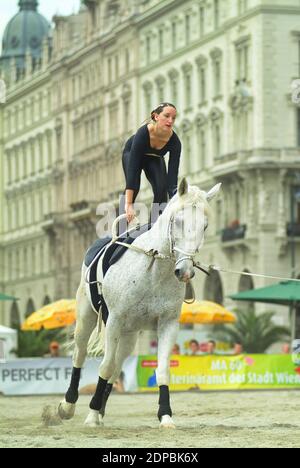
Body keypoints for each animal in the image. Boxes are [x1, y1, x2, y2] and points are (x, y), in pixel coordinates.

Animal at [58, 178, 221, 428]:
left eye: (204, 226)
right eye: (178, 221)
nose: (185, 271)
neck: (154, 269)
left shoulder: (168, 324)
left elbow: (162, 369)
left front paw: (165, 415)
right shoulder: (114, 320)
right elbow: (104, 366)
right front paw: (91, 415)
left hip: (129, 335)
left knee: (117, 366)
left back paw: (100, 408)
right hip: (86, 319)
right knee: (80, 354)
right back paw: (69, 405)